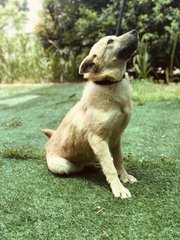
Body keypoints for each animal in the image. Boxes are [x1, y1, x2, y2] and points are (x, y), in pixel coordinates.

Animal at [43, 30, 139, 199]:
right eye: (110, 41)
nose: (134, 31)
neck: (109, 84)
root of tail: (48, 144)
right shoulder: (98, 139)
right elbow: (110, 167)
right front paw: (118, 188)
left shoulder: (116, 139)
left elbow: (118, 161)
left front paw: (125, 177)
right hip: (64, 166)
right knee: (80, 167)